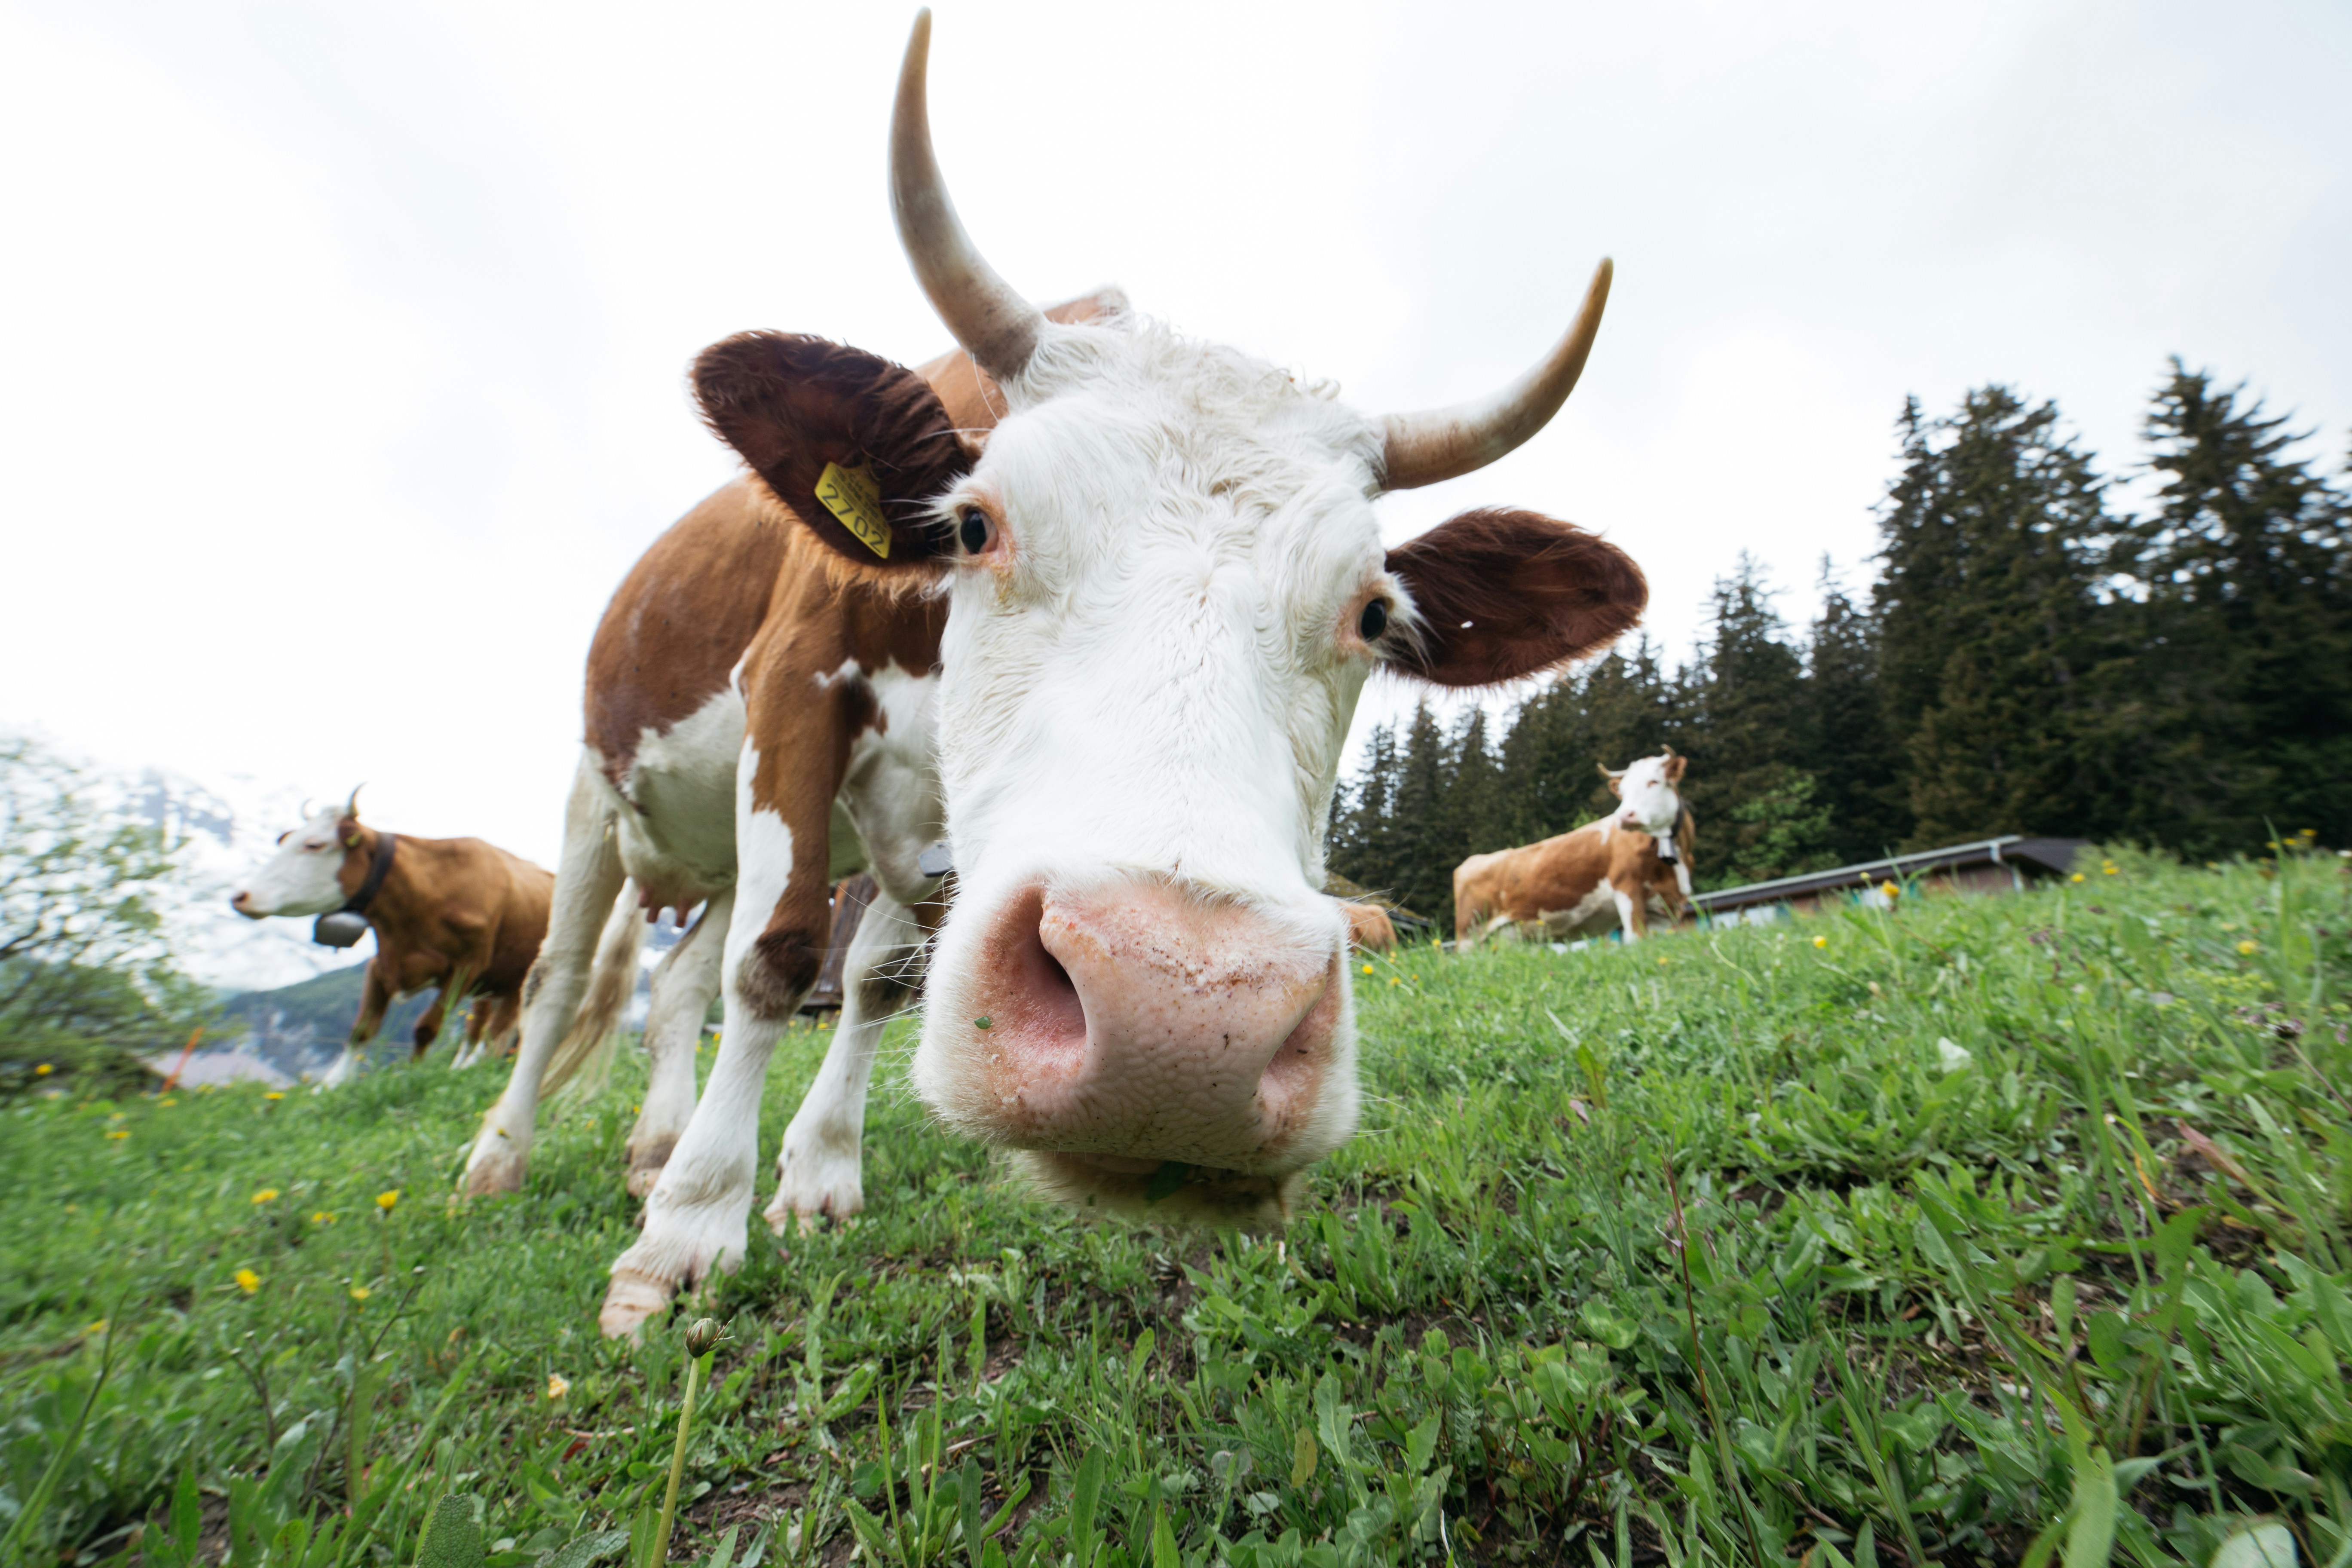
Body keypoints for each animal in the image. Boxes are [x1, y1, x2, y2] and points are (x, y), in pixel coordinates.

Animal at [230, 795, 568, 1085]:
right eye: (285, 840)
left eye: (314, 845)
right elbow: (361, 1030)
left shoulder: (464, 970)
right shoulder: (383, 963)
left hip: (517, 983)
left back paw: (474, 1069)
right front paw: (329, 1086)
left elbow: (425, 1029)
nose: (240, 896)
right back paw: (460, 1068)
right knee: (478, 1030)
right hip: (490, 988)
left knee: (498, 1033)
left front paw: (412, 1075)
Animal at [460, 11, 1649, 1339]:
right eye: (975, 525)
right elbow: (774, 961)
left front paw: (814, 1176)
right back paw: (504, 1162)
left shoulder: (936, 821)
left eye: (1377, 614)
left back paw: (652, 1149)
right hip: (594, 797)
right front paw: (684, 1240)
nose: (1184, 1023)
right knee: (565, 978)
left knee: (672, 985)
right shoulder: (795, 686)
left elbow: (872, 978)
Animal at [1452, 748, 1692, 947]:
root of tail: (1472, 861)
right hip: (1469, 935)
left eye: (1654, 782)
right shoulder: (1626, 887)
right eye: (1622, 792)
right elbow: (1636, 939)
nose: (1625, 816)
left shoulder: (1667, 907)